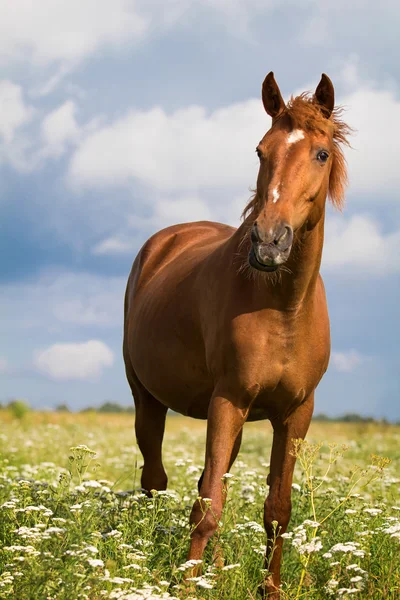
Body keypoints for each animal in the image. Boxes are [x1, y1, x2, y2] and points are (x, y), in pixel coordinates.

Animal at [122, 72, 350, 596]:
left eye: (321, 154)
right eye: (261, 151)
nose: (268, 242)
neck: (283, 307)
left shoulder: (295, 414)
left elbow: (276, 510)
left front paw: (270, 588)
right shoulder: (227, 401)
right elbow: (207, 508)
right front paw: (187, 587)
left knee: (211, 480)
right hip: (150, 400)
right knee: (155, 480)